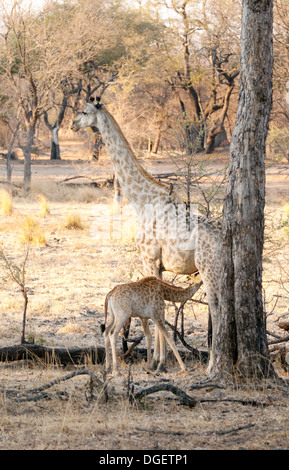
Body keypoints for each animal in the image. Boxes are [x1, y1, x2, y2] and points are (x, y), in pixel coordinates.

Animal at [71, 98, 219, 370]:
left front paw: (158, 362)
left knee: (216, 305)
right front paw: (160, 360)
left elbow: (156, 314)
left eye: (84, 112)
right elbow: (159, 310)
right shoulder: (159, 266)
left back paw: (212, 364)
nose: (73, 124)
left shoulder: (149, 259)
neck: (143, 202)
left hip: (208, 268)